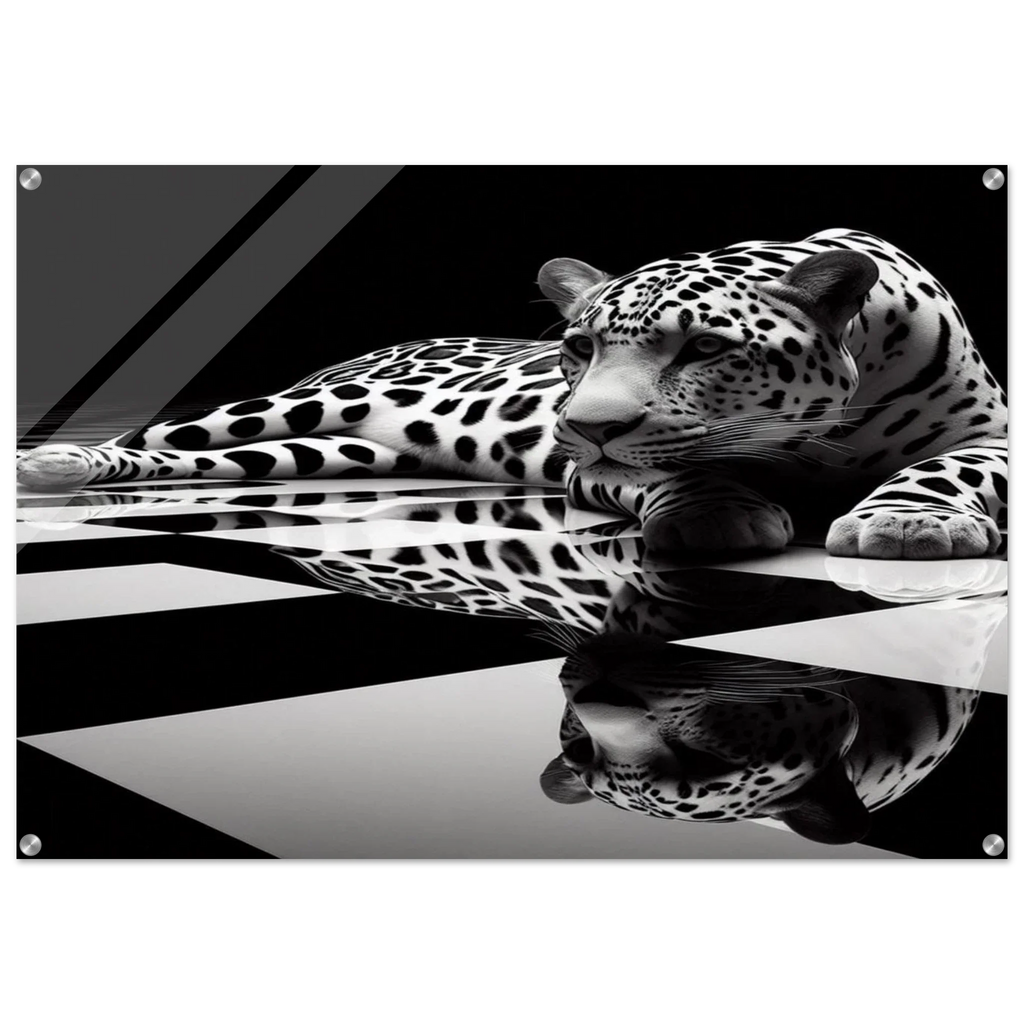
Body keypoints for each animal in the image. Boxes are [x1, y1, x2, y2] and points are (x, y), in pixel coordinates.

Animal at [16, 228, 1008, 560]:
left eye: (704, 347)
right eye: (577, 348)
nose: (584, 424)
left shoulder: (991, 437)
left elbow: (949, 470)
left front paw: (911, 522)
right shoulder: (592, 471)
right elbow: (671, 469)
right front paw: (714, 513)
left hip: (328, 451)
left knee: (220, 460)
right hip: (293, 409)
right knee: (166, 435)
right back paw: (55, 464)